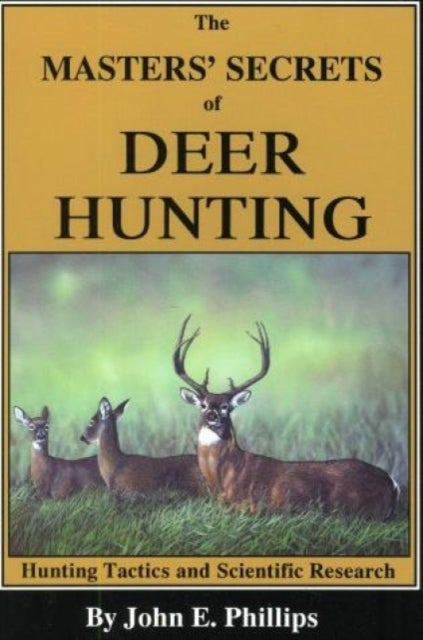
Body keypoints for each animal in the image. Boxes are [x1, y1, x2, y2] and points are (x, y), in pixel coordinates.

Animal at [173, 315, 400, 520]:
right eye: (203, 405)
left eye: (226, 407)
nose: (212, 416)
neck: (225, 478)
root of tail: (391, 482)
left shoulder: (253, 504)